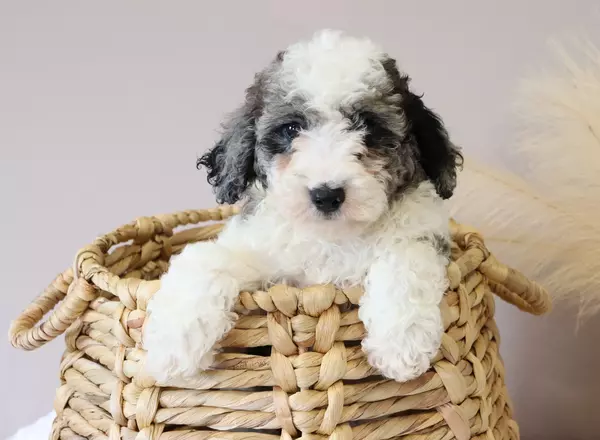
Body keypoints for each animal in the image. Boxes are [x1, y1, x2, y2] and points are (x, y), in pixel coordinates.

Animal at [145, 28, 464, 384]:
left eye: (368, 126)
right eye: (291, 129)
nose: (326, 195)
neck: (329, 238)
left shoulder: (422, 233)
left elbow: (406, 258)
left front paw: (402, 343)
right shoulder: (261, 256)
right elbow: (206, 259)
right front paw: (172, 346)